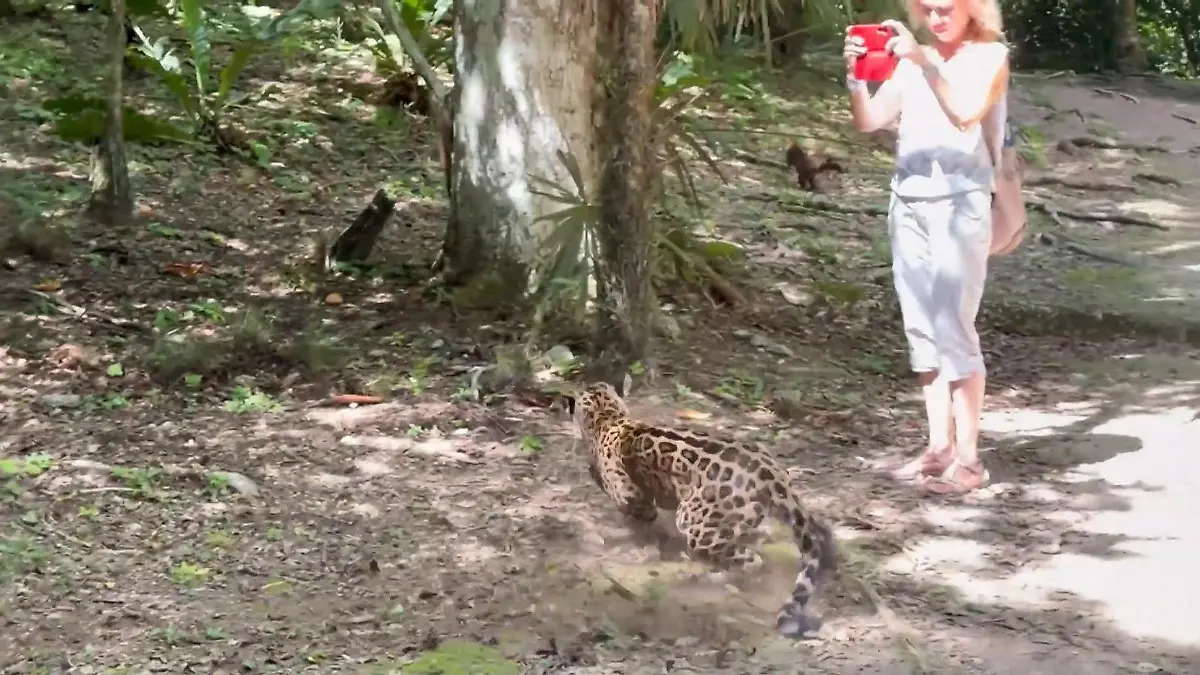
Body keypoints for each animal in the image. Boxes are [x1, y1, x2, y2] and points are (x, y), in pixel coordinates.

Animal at [562, 380, 838, 638]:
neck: (609, 418)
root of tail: (769, 472)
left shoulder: (631, 494)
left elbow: (638, 512)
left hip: (695, 523)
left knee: (751, 560)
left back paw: (717, 576)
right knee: (815, 530)